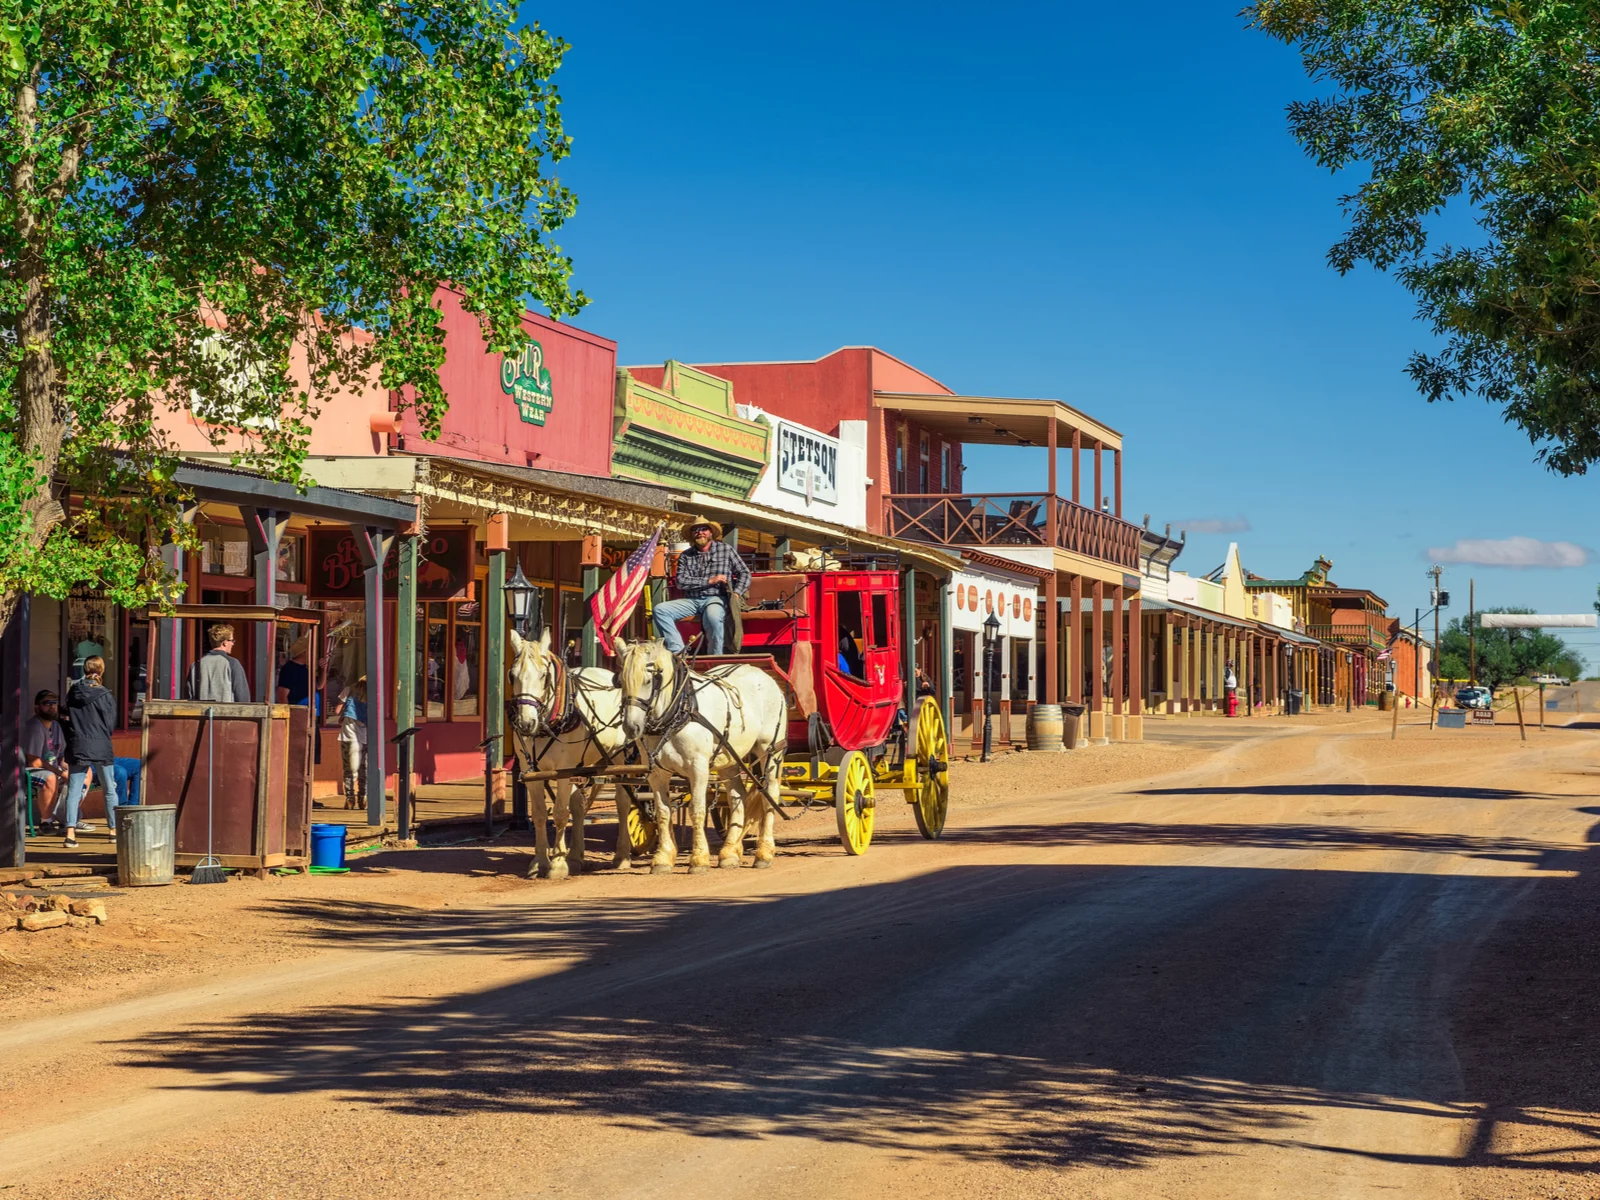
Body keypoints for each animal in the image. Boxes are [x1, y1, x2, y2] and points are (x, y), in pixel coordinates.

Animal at [505, 630, 643, 876]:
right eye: (512, 675)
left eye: (543, 676)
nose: (525, 723)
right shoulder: (531, 771)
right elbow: (540, 814)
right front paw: (541, 860)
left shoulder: (562, 770)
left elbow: (560, 813)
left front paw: (558, 865)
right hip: (583, 764)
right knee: (579, 804)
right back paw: (576, 856)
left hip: (619, 758)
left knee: (622, 802)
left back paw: (621, 856)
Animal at [611, 640, 787, 876]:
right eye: (620, 681)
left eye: (648, 680)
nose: (631, 727)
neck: (678, 712)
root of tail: (762, 674)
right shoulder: (657, 773)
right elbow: (663, 811)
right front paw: (663, 859)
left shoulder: (699, 768)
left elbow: (697, 809)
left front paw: (699, 859)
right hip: (729, 757)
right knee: (737, 797)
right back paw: (729, 853)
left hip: (770, 750)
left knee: (770, 794)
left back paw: (764, 853)